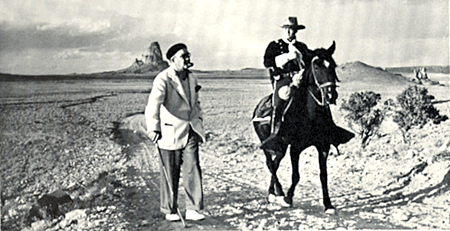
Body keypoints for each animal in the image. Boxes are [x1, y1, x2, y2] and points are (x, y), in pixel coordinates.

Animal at [251, 41, 354, 215]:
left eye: (333, 65)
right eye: (317, 67)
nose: (331, 95)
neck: (309, 114)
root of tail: (259, 106)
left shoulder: (323, 146)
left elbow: (323, 175)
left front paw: (328, 204)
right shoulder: (295, 147)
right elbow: (296, 175)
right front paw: (288, 198)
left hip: (282, 146)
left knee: (275, 163)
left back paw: (276, 192)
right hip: (268, 141)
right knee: (271, 164)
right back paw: (276, 194)